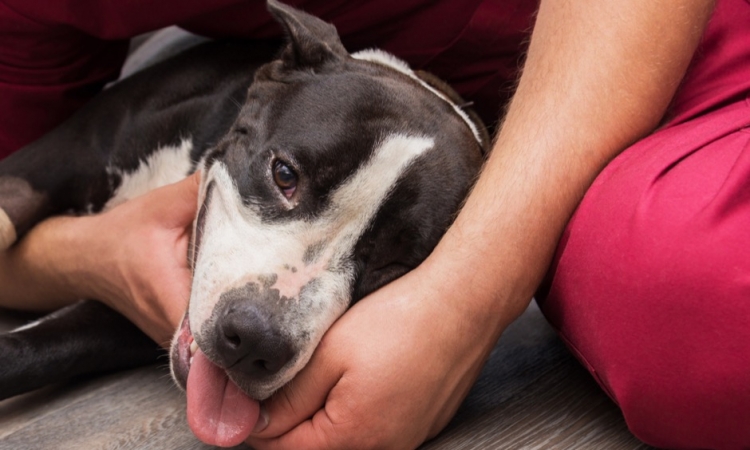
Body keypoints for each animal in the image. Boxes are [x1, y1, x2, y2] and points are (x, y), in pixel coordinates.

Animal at [0, 0, 488, 446]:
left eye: (395, 265)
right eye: (284, 175)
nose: (256, 341)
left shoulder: (121, 306)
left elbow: (41, 350)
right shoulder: (38, 170)